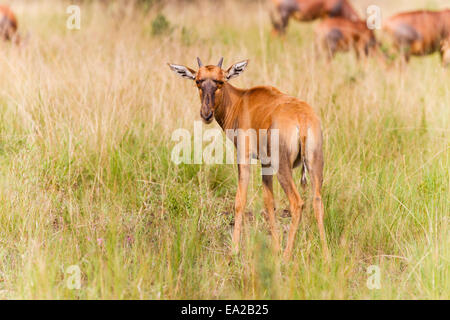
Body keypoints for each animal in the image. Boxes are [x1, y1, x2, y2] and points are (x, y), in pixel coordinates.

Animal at [167, 58, 328, 262]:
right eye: (198, 81)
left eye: (220, 81)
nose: (206, 115)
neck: (242, 100)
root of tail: (302, 118)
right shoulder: (265, 163)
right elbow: (269, 202)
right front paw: (275, 247)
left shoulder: (243, 157)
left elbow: (239, 201)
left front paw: (233, 251)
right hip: (315, 164)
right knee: (317, 202)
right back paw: (326, 254)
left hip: (283, 167)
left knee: (297, 203)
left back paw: (286, 256)